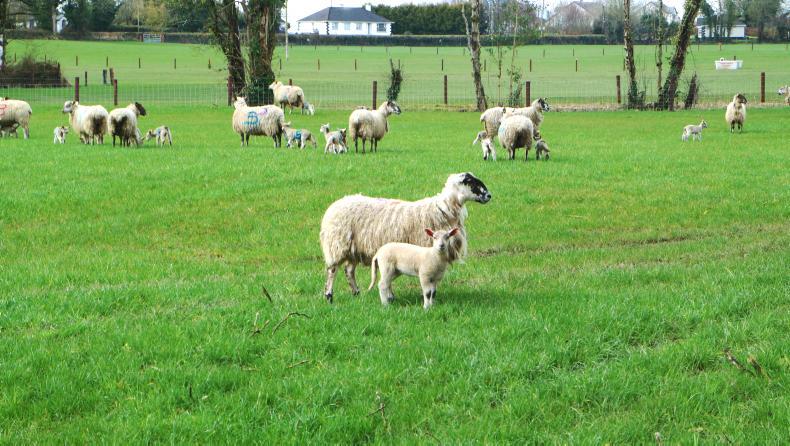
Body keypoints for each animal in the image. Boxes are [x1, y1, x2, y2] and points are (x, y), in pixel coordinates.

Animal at [319, 172, 491, 303]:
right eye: (470, 181)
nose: (489, 195)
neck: (443, 210)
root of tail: (334, 205)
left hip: (353, 249)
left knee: (349, 270)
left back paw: (357, 293)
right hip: (337, 245)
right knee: (332, 270)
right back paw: (329, 296)